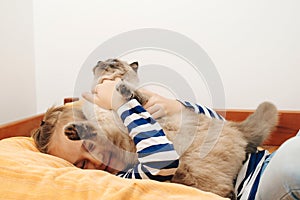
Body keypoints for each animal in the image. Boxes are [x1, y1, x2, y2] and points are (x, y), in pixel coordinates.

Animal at [72, 57, 278, 198]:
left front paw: (121, 88)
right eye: (103, 62)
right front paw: (74, 131)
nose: (101, 61)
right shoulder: (117, 139)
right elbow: (97, 133)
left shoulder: (142, 108)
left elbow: (133, 96)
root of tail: (235, 128)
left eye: (113, 62)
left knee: (225, 193)